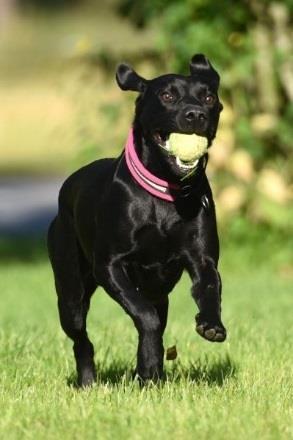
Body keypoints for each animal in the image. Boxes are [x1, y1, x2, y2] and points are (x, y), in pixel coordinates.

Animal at [48, 53, 226, 386]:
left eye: (209, 97)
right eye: (167, 95)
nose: (195, 115)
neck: (166, 192)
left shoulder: (202, 260)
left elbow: (209, 287)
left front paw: (211, 325)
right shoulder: (110, 265)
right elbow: (145, 316)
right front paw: (148, 364)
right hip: (70, 291)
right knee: (81, 338)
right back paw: (89, 382)